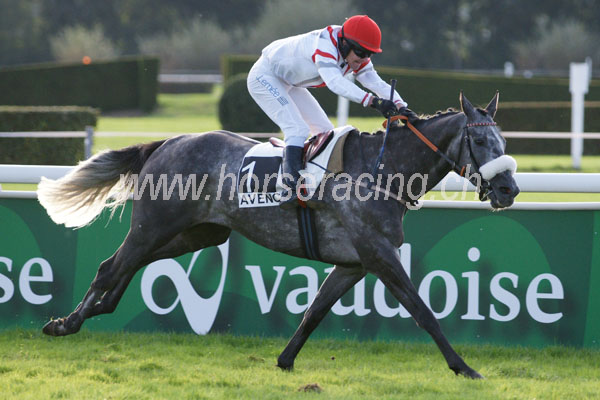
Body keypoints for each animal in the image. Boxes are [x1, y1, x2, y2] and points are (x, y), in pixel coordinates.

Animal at [37, 92, 519, 379]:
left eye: (503, 141)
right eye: (480, 144)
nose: (509, 190)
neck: (382, 171)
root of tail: (167, 143)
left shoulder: (354, 263)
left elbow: (314, 312)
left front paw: (285, 361)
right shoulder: (379, 255)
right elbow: (423, 311)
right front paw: (464, 367)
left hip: (200, 233)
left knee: (127, 265)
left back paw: (95, 311)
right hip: (154, 224)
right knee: (110, 266)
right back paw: (66, 323)